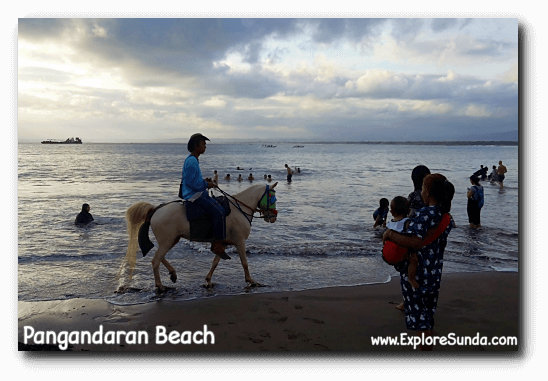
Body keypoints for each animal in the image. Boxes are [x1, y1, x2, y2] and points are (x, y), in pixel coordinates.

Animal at [121, 183, 276, 290]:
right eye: (272, 197)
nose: (274, 217)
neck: (240, 209)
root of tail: (156, 210)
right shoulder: (240, 241)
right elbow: (244, 262)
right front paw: (251, 280)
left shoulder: (223, 243)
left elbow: (215, 262)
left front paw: (208, 280)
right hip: (167, 241)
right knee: (155, 260)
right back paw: (160, 285)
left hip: (171, 240)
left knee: (160, 257)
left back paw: (173, 273)